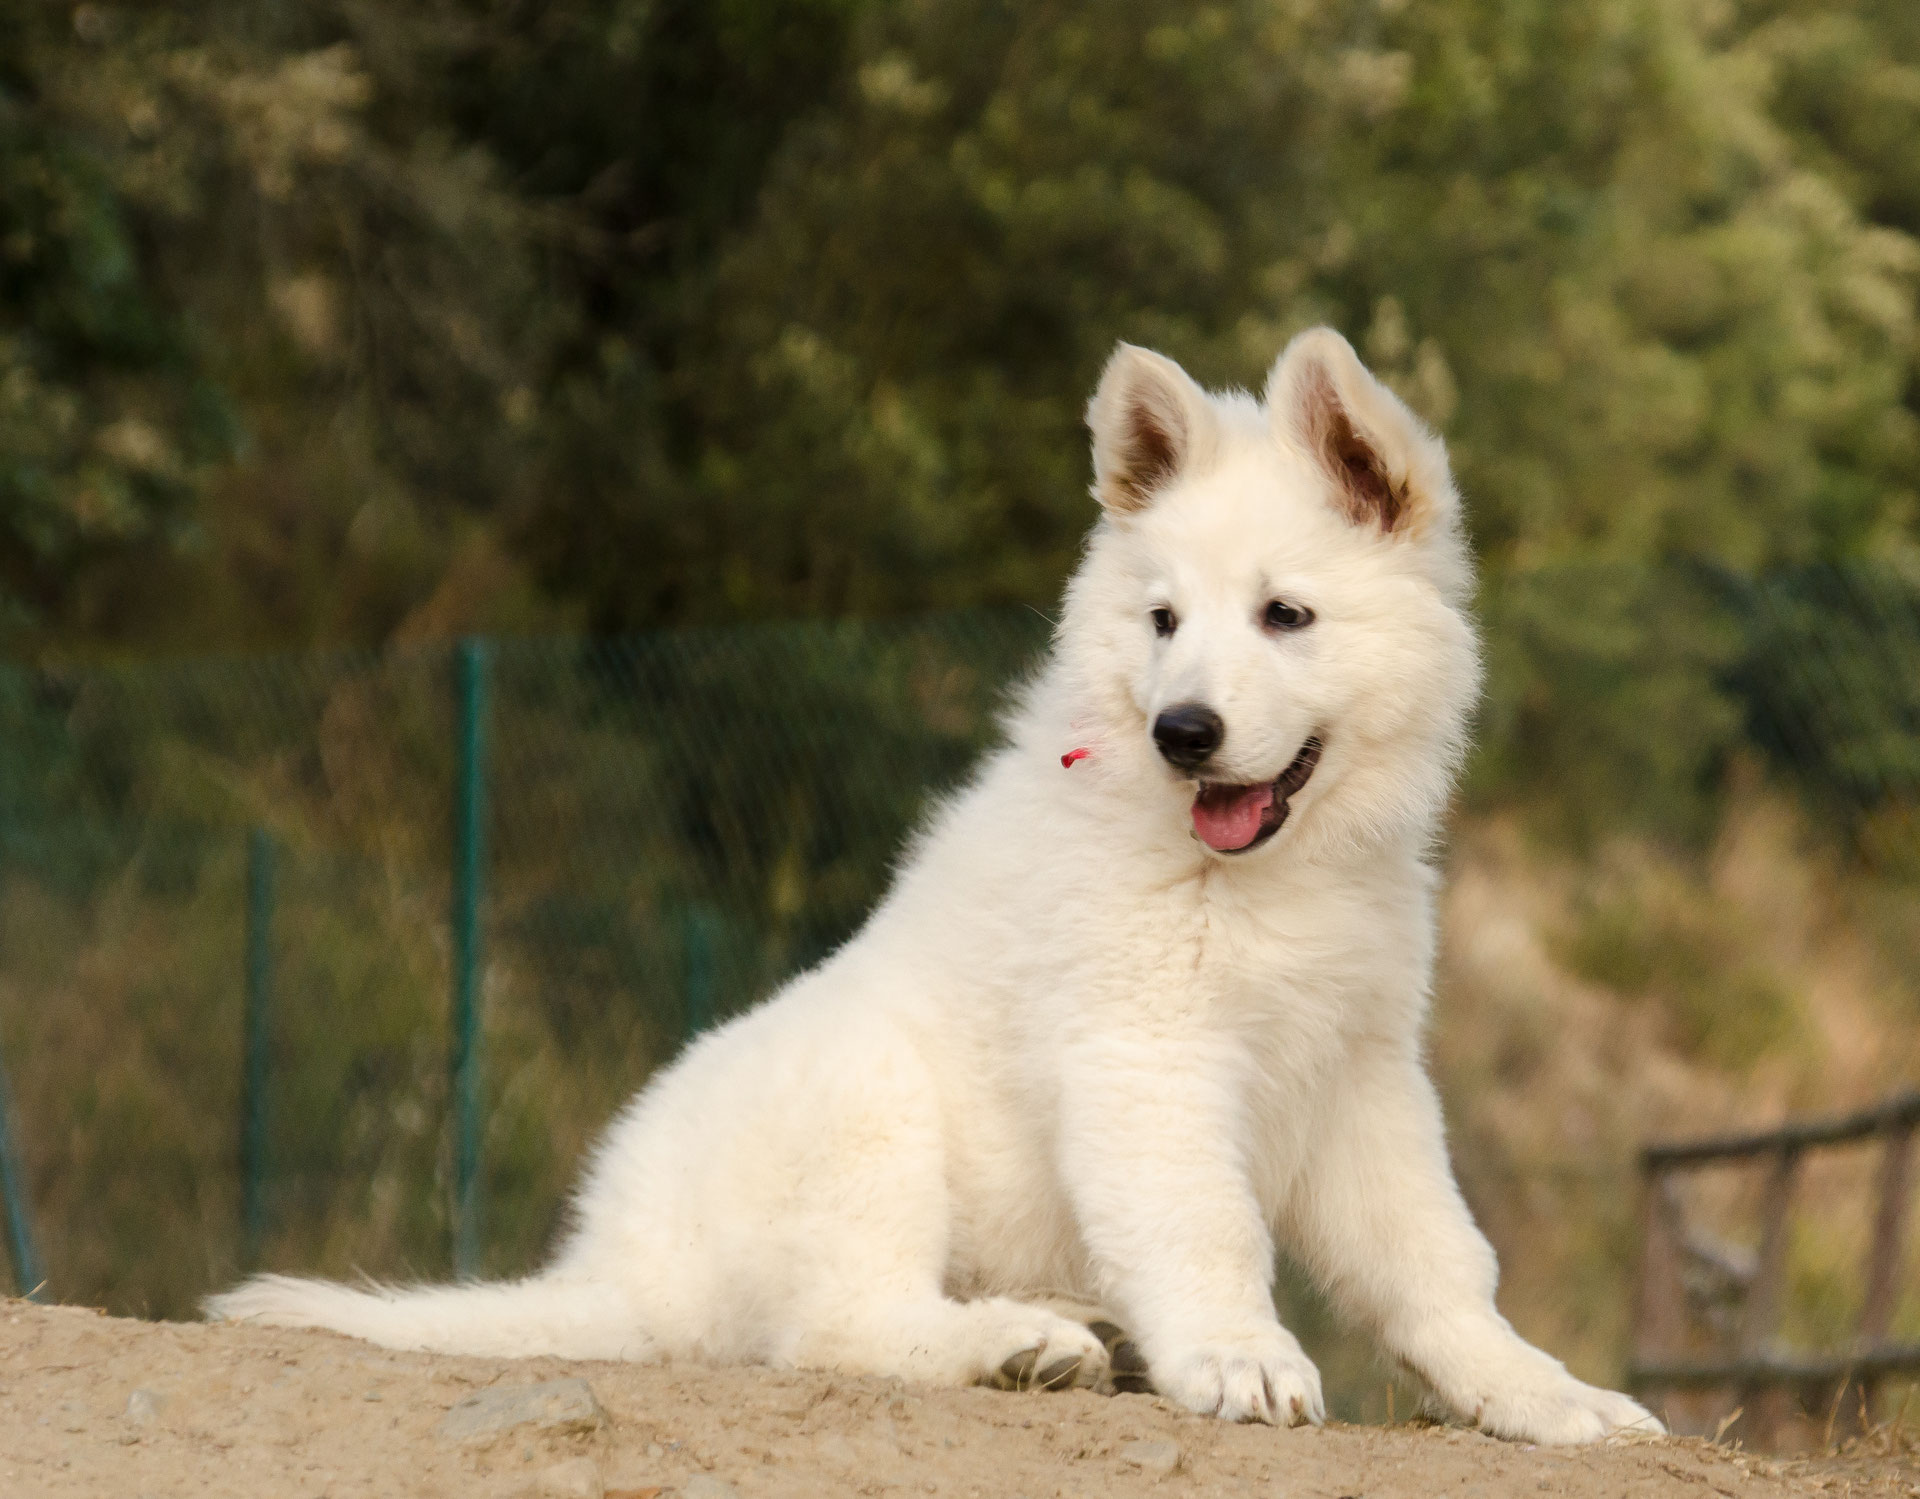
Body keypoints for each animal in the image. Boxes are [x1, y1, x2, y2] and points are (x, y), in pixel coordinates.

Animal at [206, 333, 1651, 1443]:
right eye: (1164, 621)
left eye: (1284, 615)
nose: (1182, 730)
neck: (1260, 873)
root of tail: (615, 1268)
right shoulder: (1149, 1058)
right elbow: (1209, 1228)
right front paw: (1242, 1355)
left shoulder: (1361, 1074)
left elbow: (1439, 1260)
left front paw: (1542, 1392)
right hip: (868, 1100)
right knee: (835, 1324)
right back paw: (1017, 1342)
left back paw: (1073, 1326)